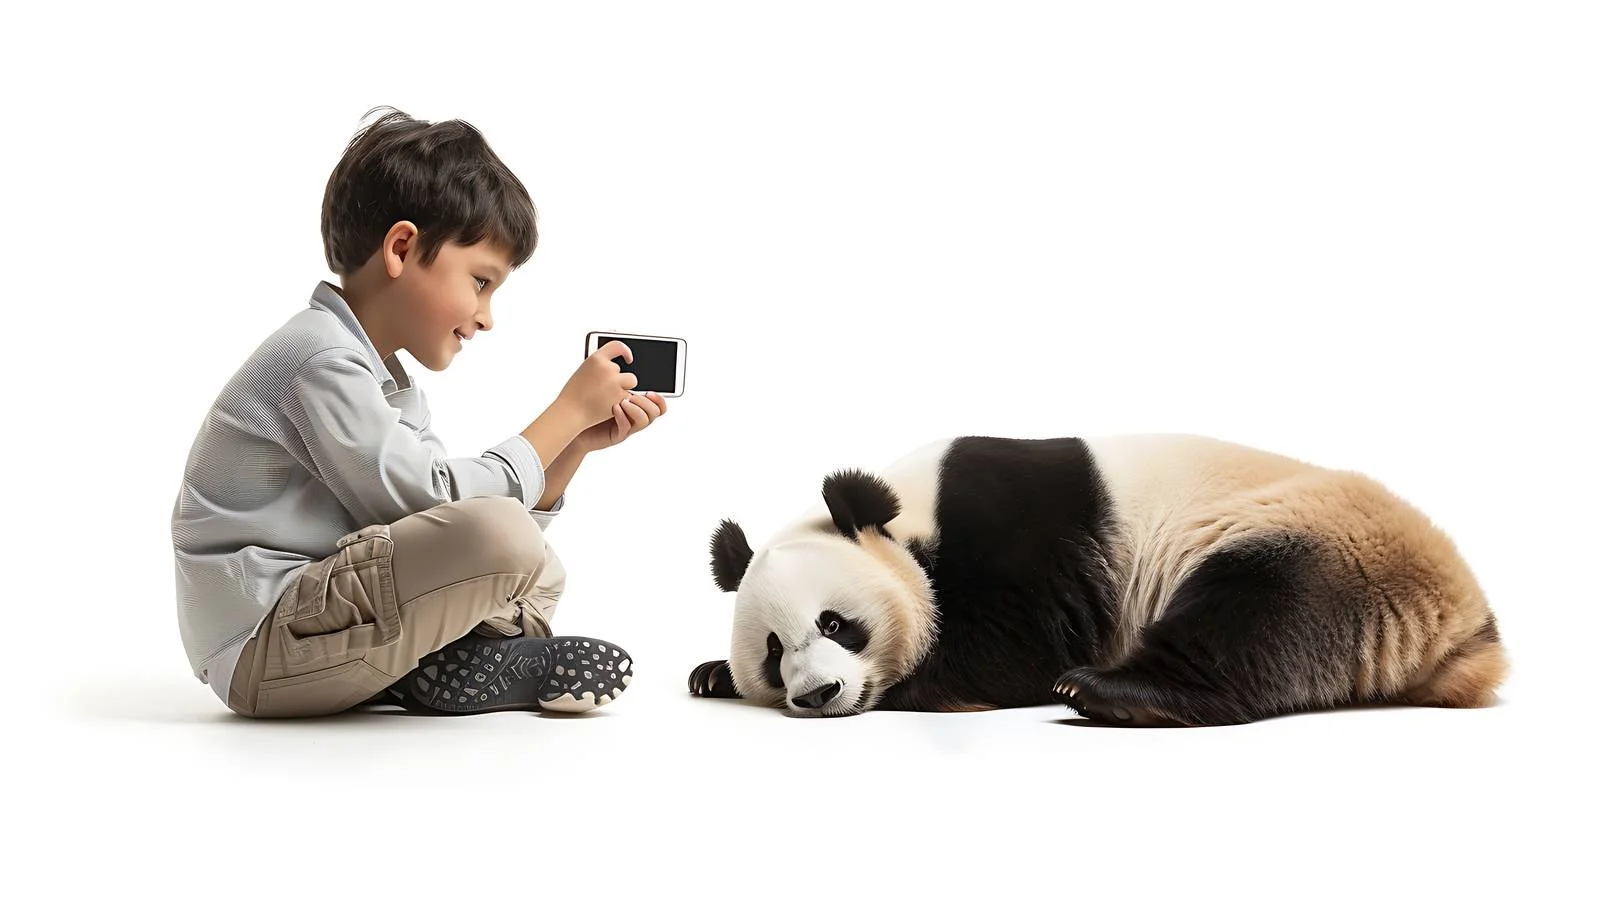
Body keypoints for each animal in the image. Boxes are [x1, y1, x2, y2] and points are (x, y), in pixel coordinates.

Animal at [687, 434, 1506, 726]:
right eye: (772, 651)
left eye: (835, 624)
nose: (817, 694)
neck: (914, 514)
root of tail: (1469, 630)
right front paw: (711, 673)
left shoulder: (1023, 536)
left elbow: (1020, 644)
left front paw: (922, 680)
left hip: (1327, 546)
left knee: (1257, 616)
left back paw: (1109, 692)